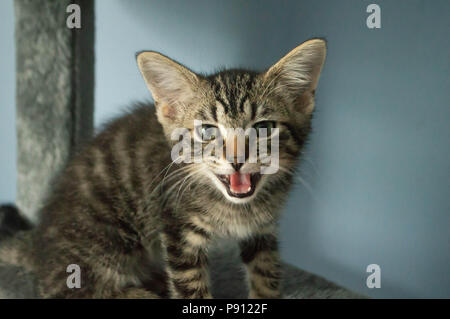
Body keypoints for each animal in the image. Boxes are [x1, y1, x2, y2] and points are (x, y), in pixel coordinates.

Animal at [32, 38, 326, 298]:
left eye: (263, 128)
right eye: (207, 131)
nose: (237, 160)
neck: (236, 209)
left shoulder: (262, 228)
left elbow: (266, 272)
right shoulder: (176, 226)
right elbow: (191, 287)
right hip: (105, 238)